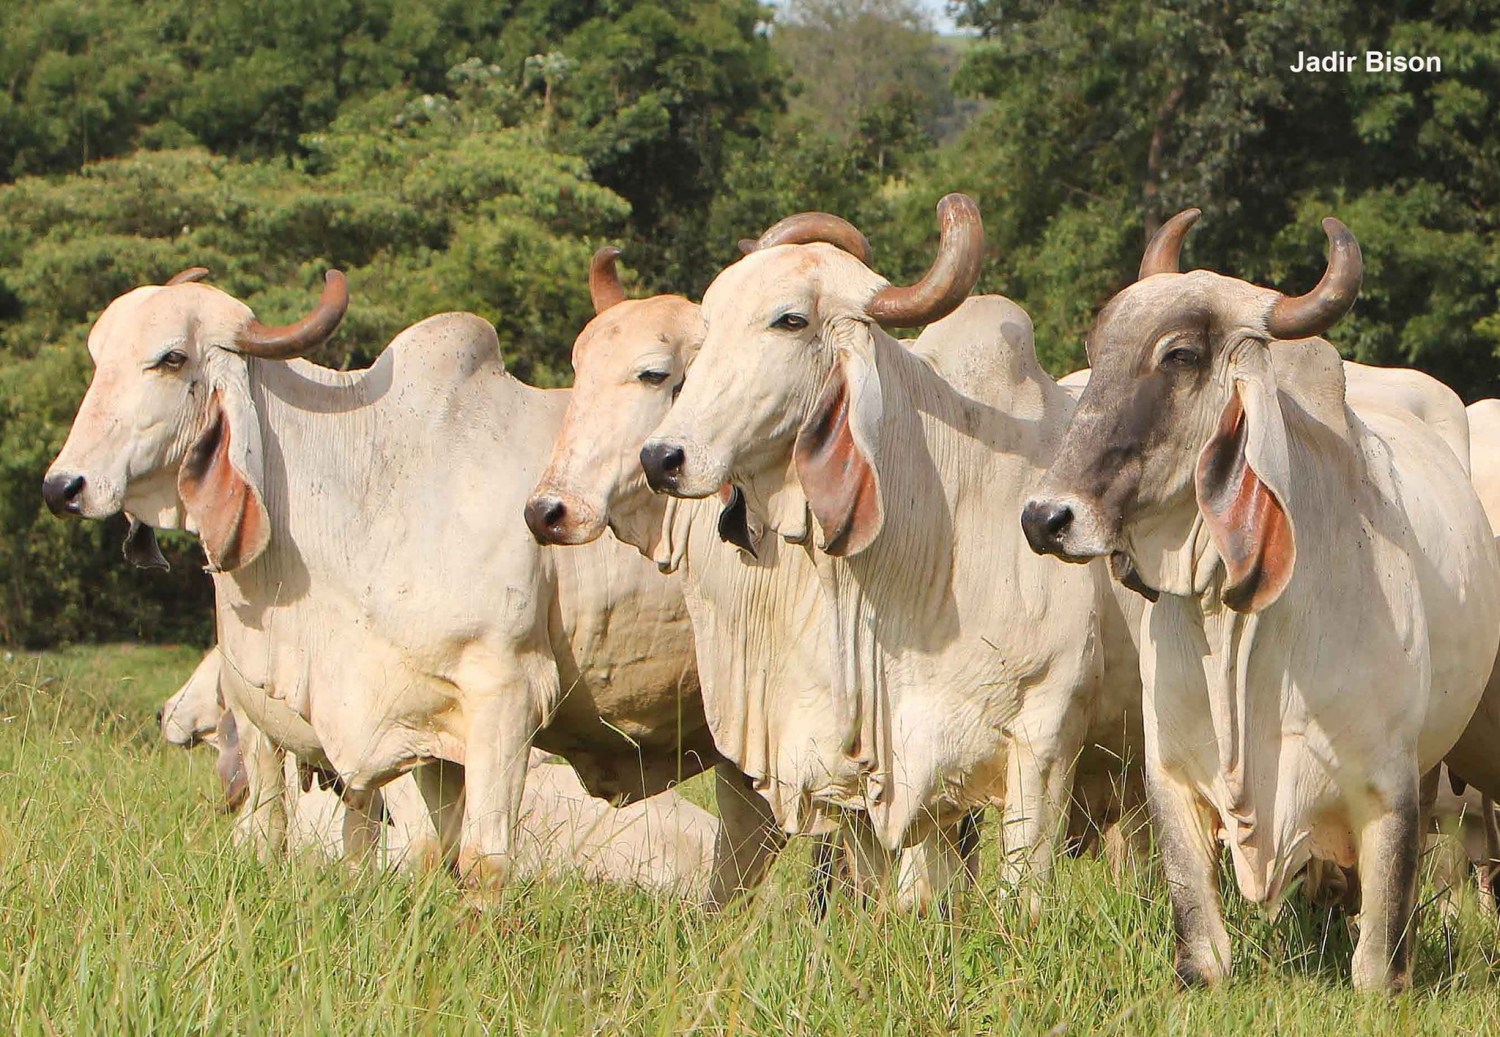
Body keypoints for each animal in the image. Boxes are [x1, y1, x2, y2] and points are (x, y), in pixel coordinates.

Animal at [43, 271, 774, 906]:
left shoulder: (506, 694)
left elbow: (481, 862)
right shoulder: (416, 722)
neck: (364, 483)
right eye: (98, 357)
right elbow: (422, 857)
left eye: (170, 358)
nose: (63, 486)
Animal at [639, 198, 1140, 912]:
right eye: (708, 326)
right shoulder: (897, 766)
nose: (662, 458)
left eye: (790, 320)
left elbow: (1024, 893)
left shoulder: (1047, 735)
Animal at [1020, 208, 1500, 990]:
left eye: (1180, 355)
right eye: (1098, 350)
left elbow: (1377, 958)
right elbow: (1203, 950)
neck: (1235, 620)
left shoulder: (1391, 788)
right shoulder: (1172, 777)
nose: (1045, 518)